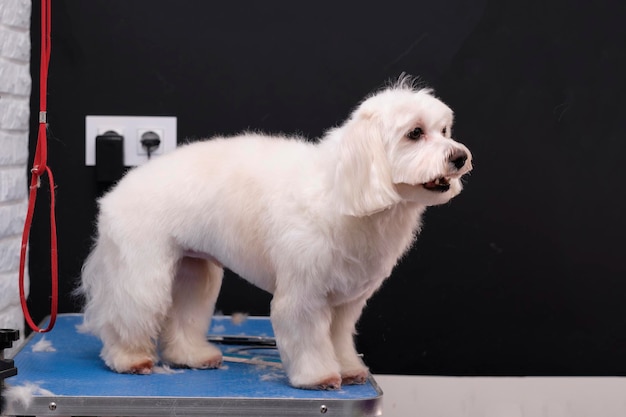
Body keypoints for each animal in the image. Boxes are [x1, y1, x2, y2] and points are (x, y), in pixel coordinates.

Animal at [78, 79, 470, 390]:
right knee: (125, 314)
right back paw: (129, 359)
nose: (461, 157)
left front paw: (348, 369)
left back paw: (192, 355)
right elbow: (307, 335)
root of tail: (117, 191)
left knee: (184, 315)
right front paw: (318, 377)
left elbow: (339, 338)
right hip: (143, 271)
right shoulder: (304, 291)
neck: (346, 189)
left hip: (194, 271)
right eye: (415, 133)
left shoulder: (345, 302)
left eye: (445, 131)